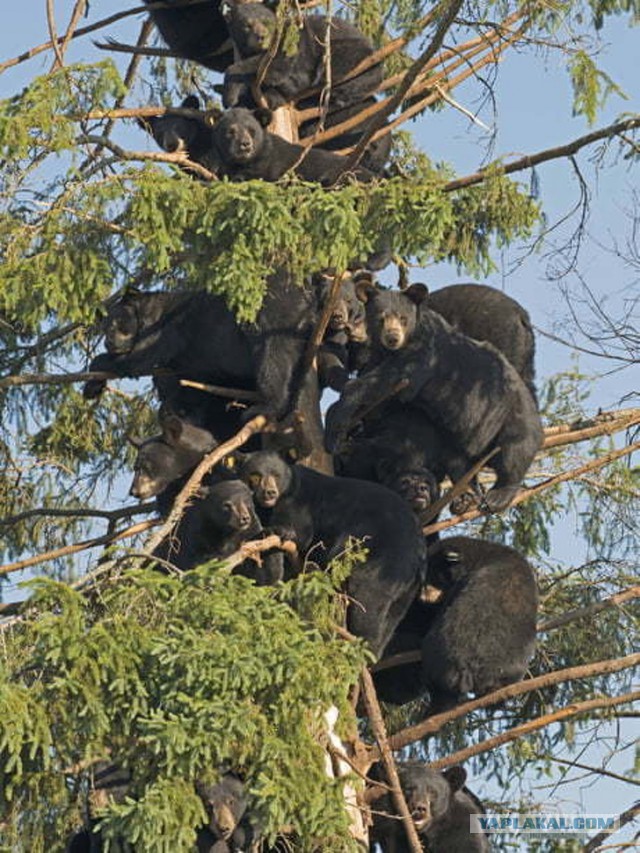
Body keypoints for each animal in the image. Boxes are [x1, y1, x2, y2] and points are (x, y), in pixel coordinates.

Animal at [222, 4, 382, 112]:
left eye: (266, 21)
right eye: (246, 25)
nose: (261, 36)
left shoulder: (292, 42)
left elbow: (277, 67)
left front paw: (229, 95)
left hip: (350, 52)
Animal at [239, 450, 424, 656]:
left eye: (276, 475)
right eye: (255, 476)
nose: (269, 492)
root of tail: (418, 550)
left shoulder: (298, 503)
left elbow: (300, 533)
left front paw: (277, 531)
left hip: (383, 559)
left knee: (369, 600)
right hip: (408, 588)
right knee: (393, 617)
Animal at [328, 284, 544, 512]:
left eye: (403, 319)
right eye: (380, 318)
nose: (393, 337)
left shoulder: (423, 355)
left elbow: (390, 381)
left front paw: (338, 421)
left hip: (508, 412)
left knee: (515, 449)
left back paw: (498, 495)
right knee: (459, 464)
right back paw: (465, 496)